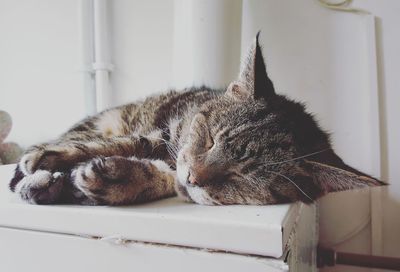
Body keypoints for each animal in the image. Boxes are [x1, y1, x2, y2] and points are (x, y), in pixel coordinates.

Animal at [10, 34, 384, 204]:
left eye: (239, 177)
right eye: (212, 138)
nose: (193, 176)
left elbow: (164, 179)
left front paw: (119, 179)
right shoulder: (162, 134)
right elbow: (126, 142)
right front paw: (50, 157)